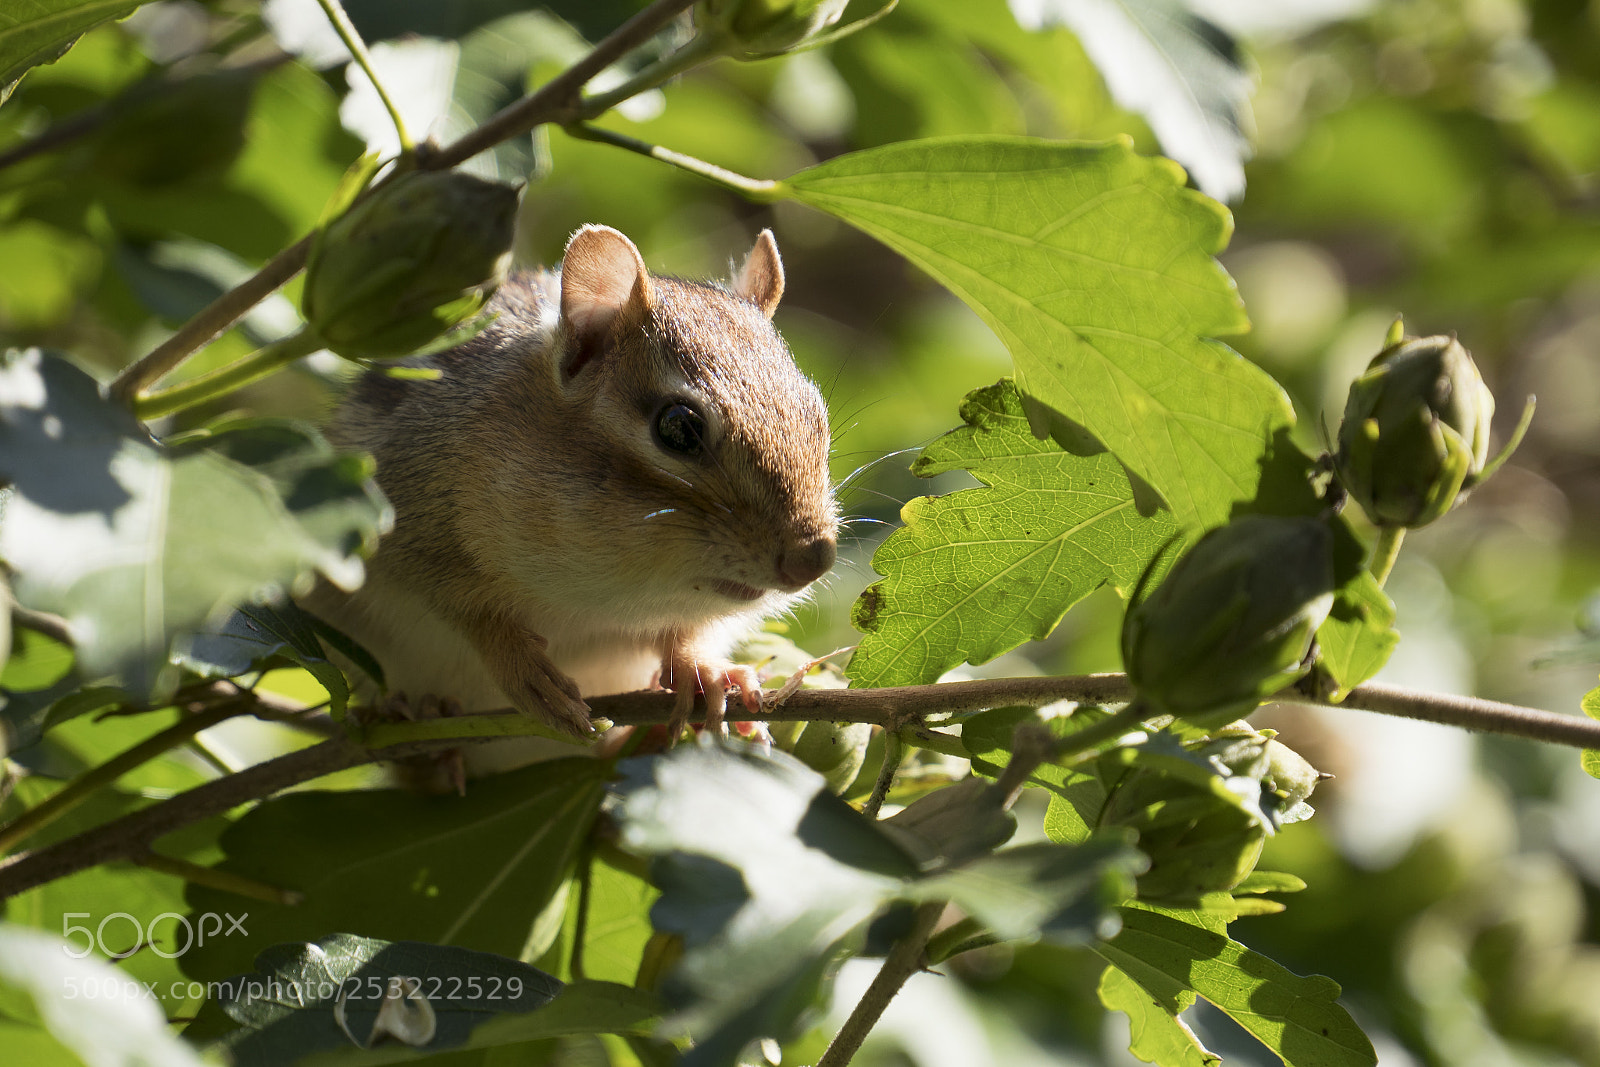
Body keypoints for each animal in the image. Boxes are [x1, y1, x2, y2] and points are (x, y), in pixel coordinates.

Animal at [303, 224, 838, 756]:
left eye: (817, 412)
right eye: (678, 427)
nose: (812, 558)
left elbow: (687, 631)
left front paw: (702, 668)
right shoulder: (403, 520)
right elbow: (466, 610)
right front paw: (521, 668)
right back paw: (418, 724)